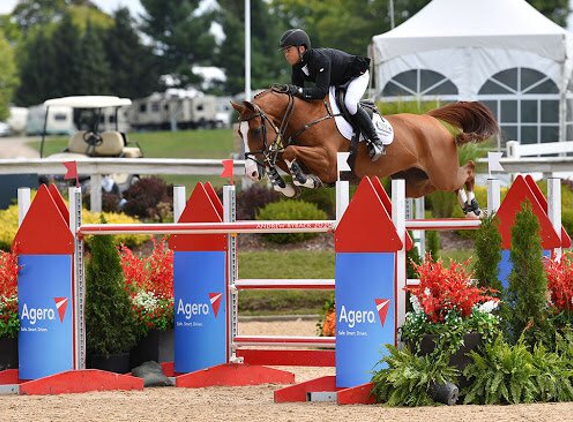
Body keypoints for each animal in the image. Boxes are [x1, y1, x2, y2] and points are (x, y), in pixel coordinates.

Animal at [230, 87, 498, 216]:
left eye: (256, 130)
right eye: (239, 134)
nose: (251, 172)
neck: (304, 117)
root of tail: (429, 120)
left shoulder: (330, 163)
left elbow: (289, 153)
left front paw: (303, 179)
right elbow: (281, 158)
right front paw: (285, 184)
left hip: (441, 172)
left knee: (468, 170)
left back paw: (473, 204)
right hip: (416, 181)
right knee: (448, 183)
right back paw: (466, 204)